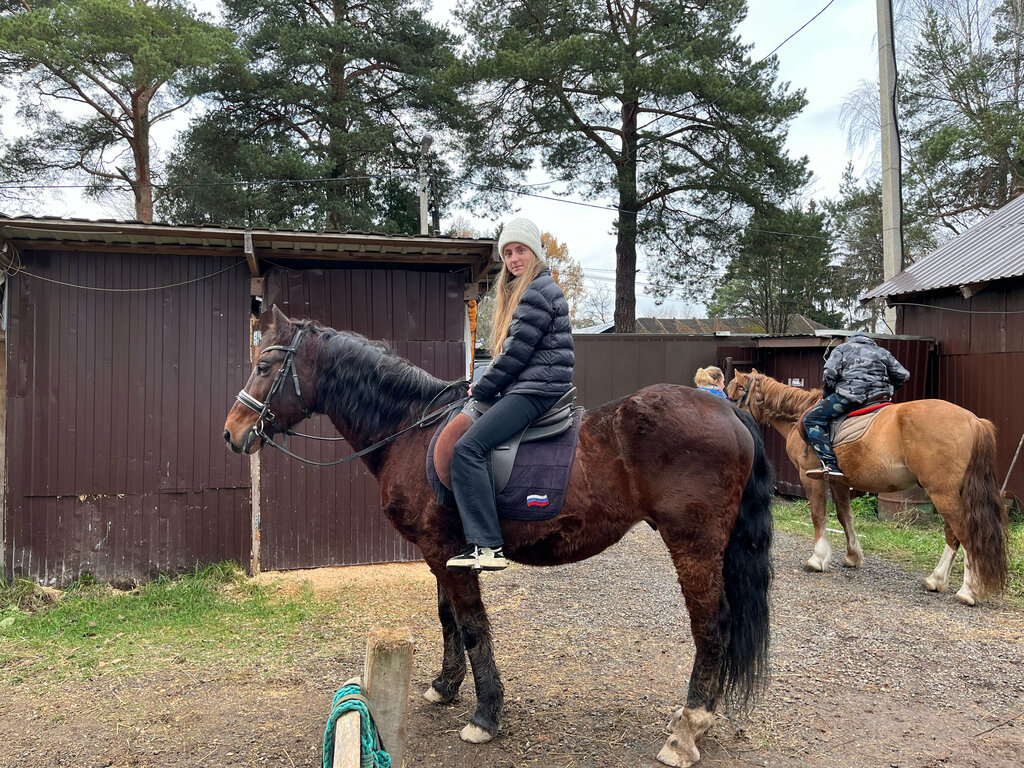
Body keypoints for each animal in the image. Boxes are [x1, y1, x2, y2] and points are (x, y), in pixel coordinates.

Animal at [222, 309, 770, 768]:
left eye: (266, 366)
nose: (232, 433)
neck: (410, 431)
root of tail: (727, 412)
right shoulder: (441, 554)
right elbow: (447, 618)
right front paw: (445, 686)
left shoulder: (444, 552)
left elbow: (471, 627)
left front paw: (485, 716)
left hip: (693, 546)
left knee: (711, 628)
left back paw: (687, 730)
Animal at [729, 368, 1007, 606]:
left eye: (736, 391)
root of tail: (973, 420)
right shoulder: (838, 480)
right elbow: (845, 517)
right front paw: (853, 556)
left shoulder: (811, 478)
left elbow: (818, 515)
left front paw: (818, 558)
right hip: (949, 493)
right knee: (953, 535)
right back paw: (936, 580)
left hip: (942, 493)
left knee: (965, 535)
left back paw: (969, 590)